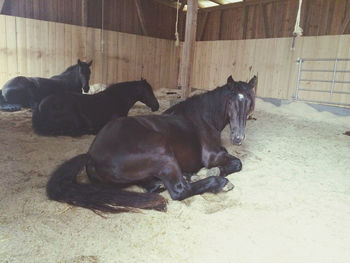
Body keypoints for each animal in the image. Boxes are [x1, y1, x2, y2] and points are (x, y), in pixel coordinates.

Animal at [46, 75, 258, 213]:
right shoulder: (213, 155)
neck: (203, 118)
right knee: (179, 190)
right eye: (230, 102)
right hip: (163, 152)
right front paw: (213, 172)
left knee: (154, 185)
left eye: (250, 103)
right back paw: (218, 183)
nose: (238, 138)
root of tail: (91, 156)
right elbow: (236, 163)